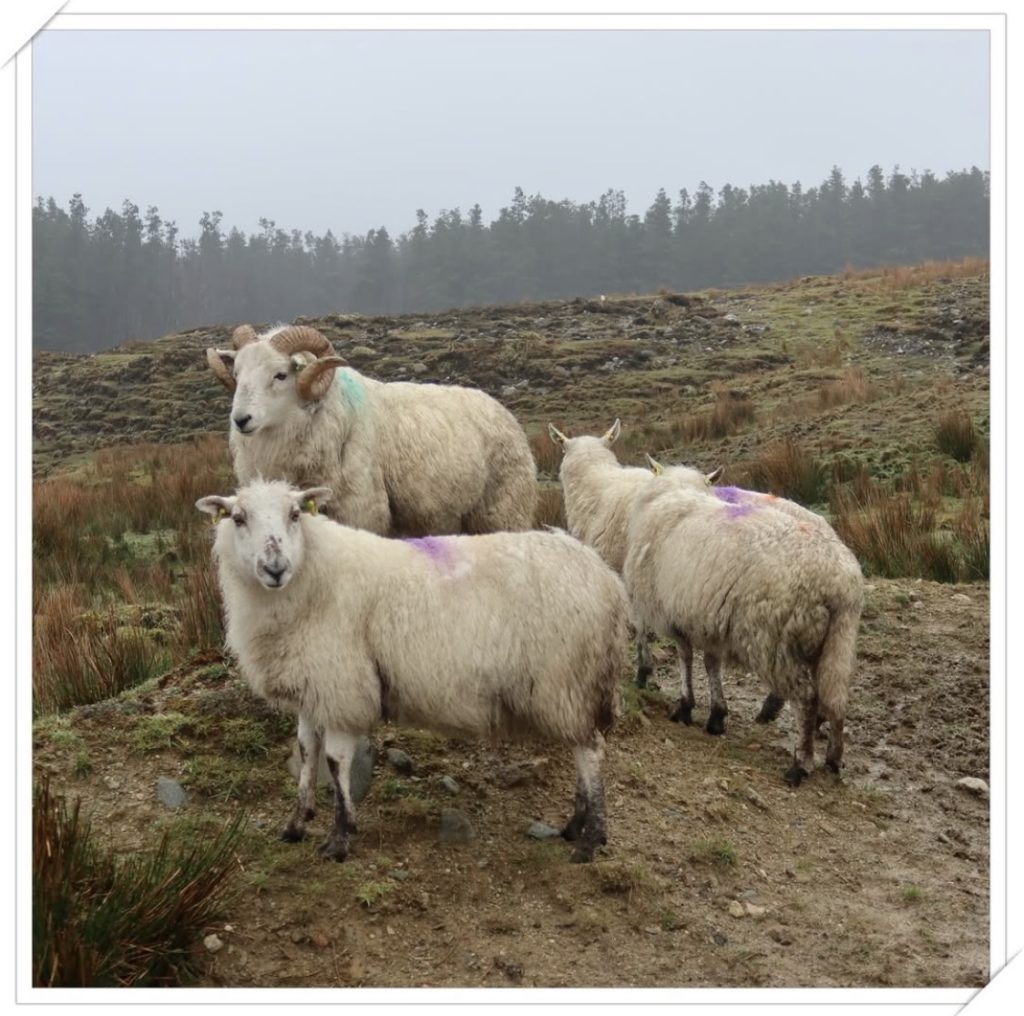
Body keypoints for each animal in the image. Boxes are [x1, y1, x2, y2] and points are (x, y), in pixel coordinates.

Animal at [196, 479, 628, 863]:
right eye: (238, 518)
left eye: (295, 514)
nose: (275, 568)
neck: (314, 574)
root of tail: (604, 576)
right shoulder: (313, 686)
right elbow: (306, 752)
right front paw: (296, 824)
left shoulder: (343, 687)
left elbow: (335, 762)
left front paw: (340, 838)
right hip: (572, 686)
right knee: (582, 749)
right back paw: (575, 825)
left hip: (567, 680)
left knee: (590, 751)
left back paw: (590, 840)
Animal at [206, 323, 537, 537]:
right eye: (237, 374)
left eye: (280, 375)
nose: (241, 420)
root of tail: (501, 410)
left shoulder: (361, 511)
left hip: (504, 511)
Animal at [622, 470, 864, 785]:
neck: (675, 494)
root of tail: (837, 582)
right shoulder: (706, 620)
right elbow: (711, 664)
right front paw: (716, 716)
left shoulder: (676, 617)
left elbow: (685, 659)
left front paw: (685, 707)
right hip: (839, 638)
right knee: (836, 697)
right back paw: (834, 758)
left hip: (775, 641)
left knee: (807, 698)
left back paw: (801, 762)